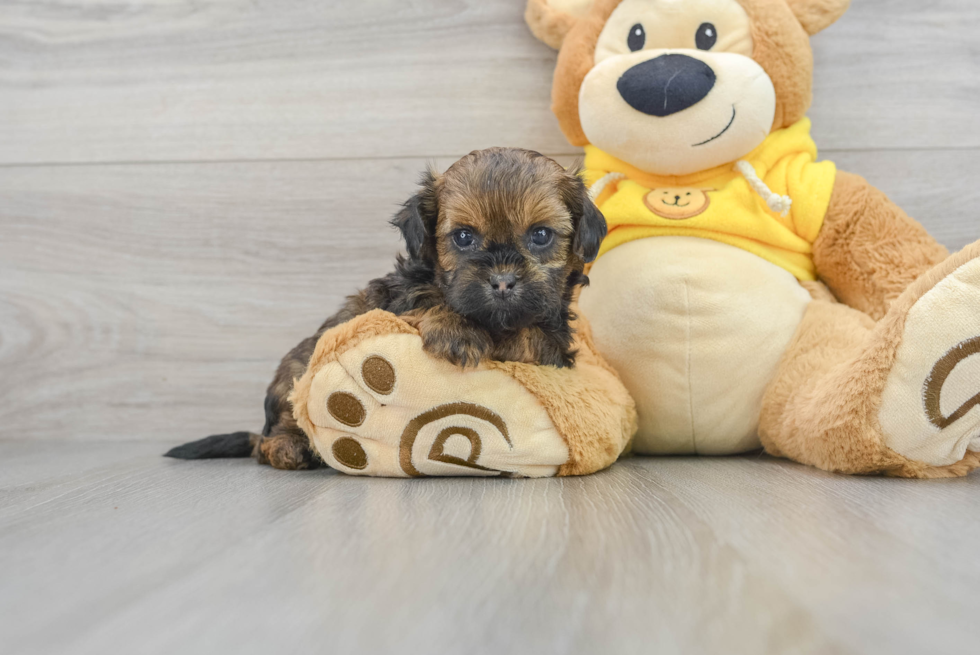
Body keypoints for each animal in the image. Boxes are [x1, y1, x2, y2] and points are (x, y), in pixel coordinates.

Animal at [167, 147, 604, 472]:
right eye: (463, 238)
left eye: (541, 235)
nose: (501, 281)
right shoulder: (395, 299)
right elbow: (428, 298)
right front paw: (457, 331)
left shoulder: (552, 341)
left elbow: (531, 336)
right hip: (293, 377)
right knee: (269, 440)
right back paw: (289, 448)